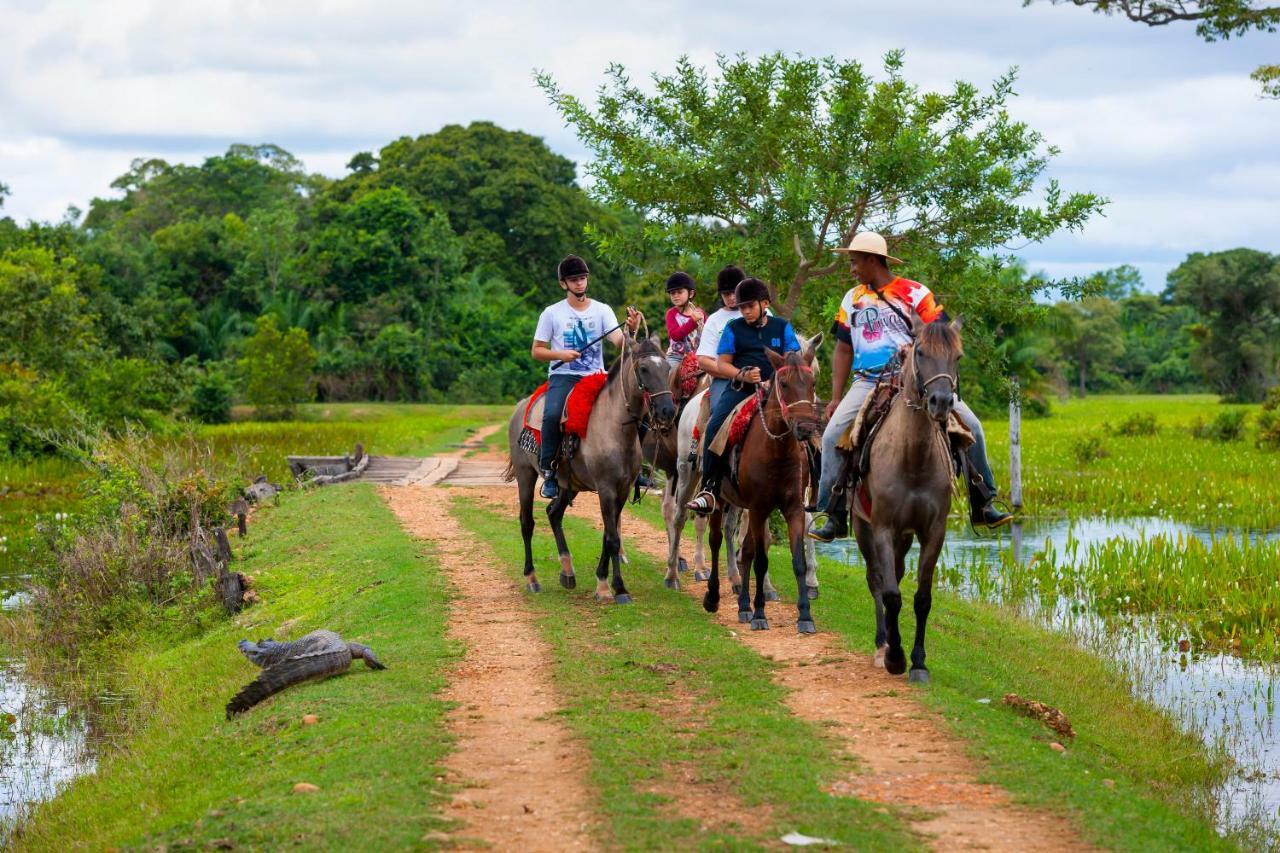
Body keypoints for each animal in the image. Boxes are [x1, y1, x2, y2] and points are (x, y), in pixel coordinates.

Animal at [504, 335, 680, 601]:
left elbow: (609, 535)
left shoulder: (622, 490)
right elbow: (613, 538)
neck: (615, 428)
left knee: (554, 514)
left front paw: (605, 583)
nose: (667, 411)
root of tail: (520, 407)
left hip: (568, 485)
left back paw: (567, 571)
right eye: (643, 369)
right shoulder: (606, 489)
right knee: (527, 522)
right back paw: (532, 579)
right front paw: (616, 588)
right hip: (526, 475)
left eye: (667, 368)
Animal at [701, 338, 819, 630]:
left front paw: (805, 615)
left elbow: (796, 560)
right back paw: (713, 597)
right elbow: (761, 560)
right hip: (720, 500)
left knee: (746, 551)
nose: (806, 428)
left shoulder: (792, 508)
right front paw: (760, 614)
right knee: (716, 541)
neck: (777, 451)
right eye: (784, 384)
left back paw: (743, 606)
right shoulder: (758, 507)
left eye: (812, 382)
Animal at [855, 318, 962, 686]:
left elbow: (922, 598)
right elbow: (890, 594)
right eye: (920, 352)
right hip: (862, 527)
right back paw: (881, 645)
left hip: (904, 536)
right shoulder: (883, 528)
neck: (913, 459)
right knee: (876, 579)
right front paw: (895, 658)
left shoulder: (934, 532)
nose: (941, 402)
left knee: (897, 574)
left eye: (958, 356)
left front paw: (918, 662)